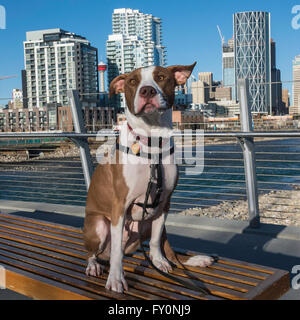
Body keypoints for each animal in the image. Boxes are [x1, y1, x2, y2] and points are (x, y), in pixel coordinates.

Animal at [82, 62, 213, 292]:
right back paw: (94, 265)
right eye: (133, 81)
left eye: (161, 77)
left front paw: (159, 261)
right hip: (98, 224)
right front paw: (116, 278)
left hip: (145, 221)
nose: (147, 91)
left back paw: (188, 259)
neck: (152, 142)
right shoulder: (119, 205)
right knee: (94, 253)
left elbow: (156, 240)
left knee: (167, 248)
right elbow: (116, 253)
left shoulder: (164, 203)